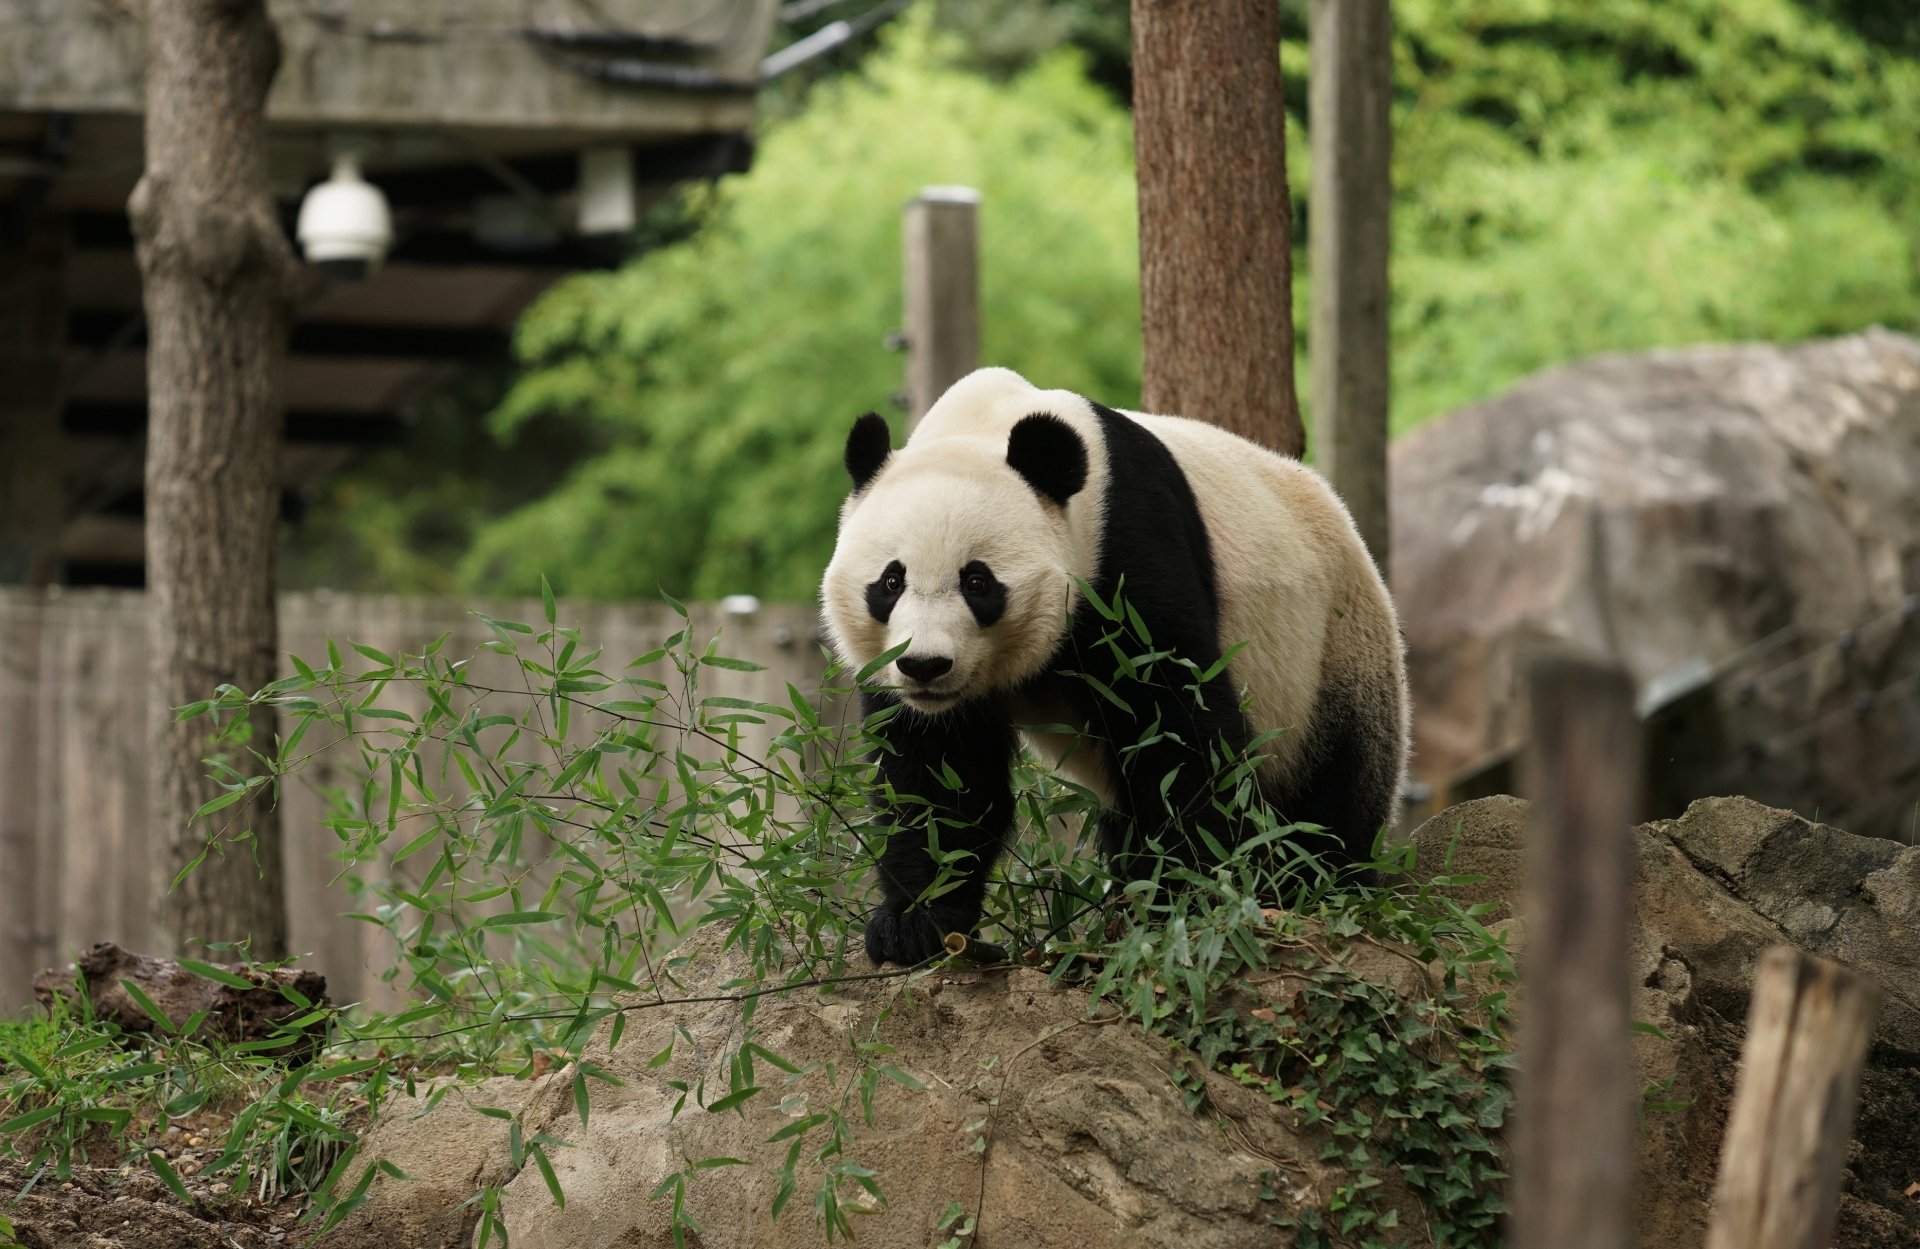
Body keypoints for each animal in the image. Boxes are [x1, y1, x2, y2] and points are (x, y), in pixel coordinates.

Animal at [821, 367, 1409, 967]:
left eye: (978, 581)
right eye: (891, 581)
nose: (925, 665)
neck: (986, 423)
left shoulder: (1128, 548)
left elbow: (1175, 728)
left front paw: (1187, 899)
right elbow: (939, 781)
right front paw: (913, 924)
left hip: (1331, 652)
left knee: (1330, 796)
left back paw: (1309, 885)